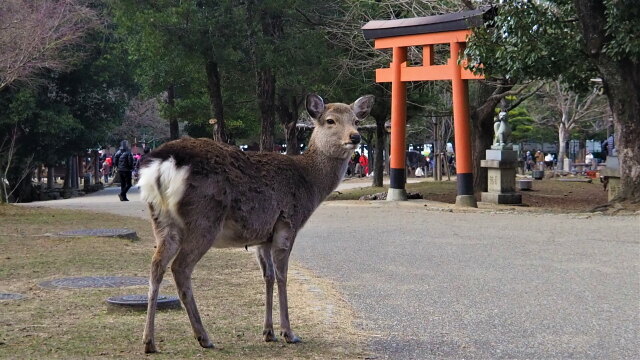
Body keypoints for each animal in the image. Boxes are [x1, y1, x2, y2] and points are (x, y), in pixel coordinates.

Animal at [138, 93, 372, 354]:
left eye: (357, 121)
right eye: (330, 120)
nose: (355, 137)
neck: (309, 185)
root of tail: (162, 164)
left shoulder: (262, 236)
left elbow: (267, 276)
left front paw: (268, 332)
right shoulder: (287, 223)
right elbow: (282, 275)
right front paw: (289, 333)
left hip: (162, 221)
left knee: (156, 265)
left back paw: (149, 341)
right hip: (203, 220)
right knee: (180, 267)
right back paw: (203, 337)